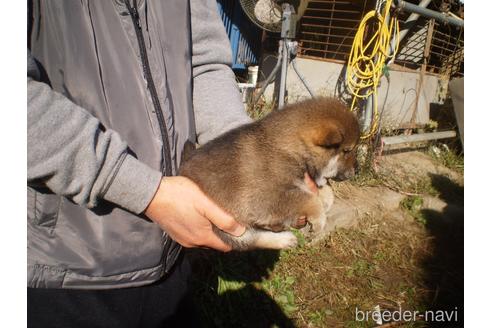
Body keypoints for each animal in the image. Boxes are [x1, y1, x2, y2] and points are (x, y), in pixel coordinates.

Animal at [179, 96, 360, 249]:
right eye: (347, 150)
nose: (355, 172)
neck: (288, 149)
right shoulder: (266, 197)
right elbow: (309, 199)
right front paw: (319, 219)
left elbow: (325, 190)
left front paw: (326, 200)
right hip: (227, 226)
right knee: (250, 241)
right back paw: (284, 239)